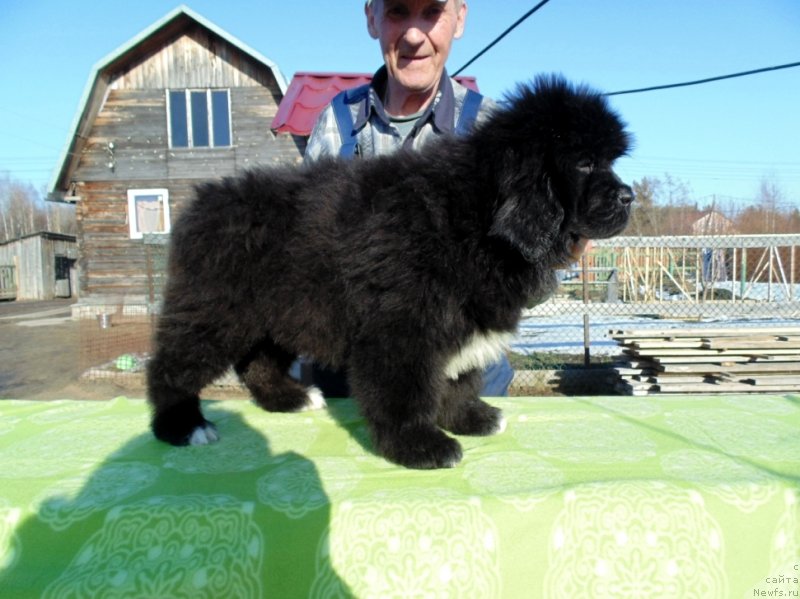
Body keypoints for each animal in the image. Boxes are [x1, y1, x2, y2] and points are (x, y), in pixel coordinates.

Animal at [145, 74, 632, 468]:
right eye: (584, 163)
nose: (628, 196)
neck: (475, 212)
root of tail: (202, 202)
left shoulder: (461, 319)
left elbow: (458, 380)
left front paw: (468, 418)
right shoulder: (401, 328)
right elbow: (406, 391)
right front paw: (418, 445)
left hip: (276, 312)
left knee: (258, 363)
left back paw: (290, 398)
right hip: (213, 310)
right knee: (172, 367)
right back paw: (182, 426)